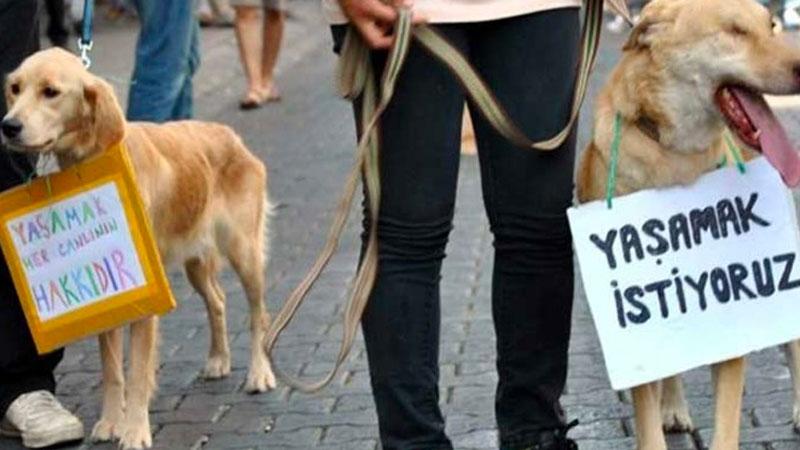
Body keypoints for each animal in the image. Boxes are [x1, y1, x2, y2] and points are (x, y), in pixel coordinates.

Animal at [0, 49, 276, 450]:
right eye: (15, 89)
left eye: (50, 91)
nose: (9, 126)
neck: (92, 157)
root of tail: (231, 135)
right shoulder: (111, 299)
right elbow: (113, 371)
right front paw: (110, 422)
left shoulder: (146, 300)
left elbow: (137, 372)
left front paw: (134, 431)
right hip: (195, 263)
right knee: (219, 302)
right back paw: (218, 360)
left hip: (244, 252)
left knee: (258, 316)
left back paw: (259, 373)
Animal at [580, 0, 800, 450]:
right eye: (734, 31)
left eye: (771, 25)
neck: (675, 157)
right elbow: (647, 418)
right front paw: (661, 414)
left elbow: (727, 424)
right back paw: (674, 407)